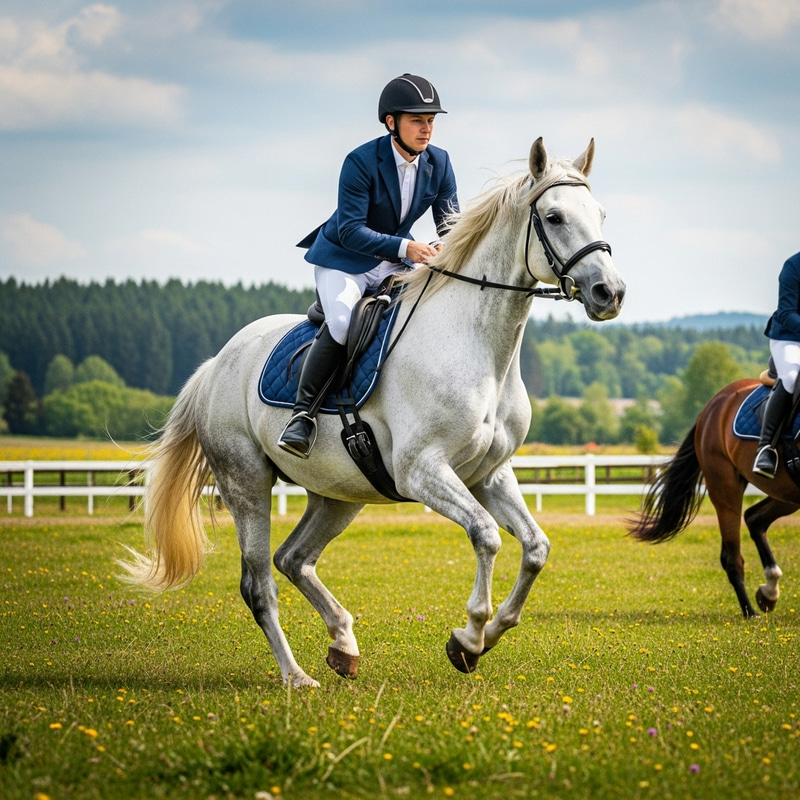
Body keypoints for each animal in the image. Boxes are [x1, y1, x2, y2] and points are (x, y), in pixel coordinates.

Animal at [118, 137, 626, 687]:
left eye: (600, 213)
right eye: (554, 216)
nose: (610, 293)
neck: (478, 346)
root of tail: (216, 366)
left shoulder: (489, 474)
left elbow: (535, 548)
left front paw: (487, 636)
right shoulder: (422, 471)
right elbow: (486, 536)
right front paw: (469, 637)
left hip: (339, 493)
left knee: (293, 559)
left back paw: (343, 643)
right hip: (246, 483)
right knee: (258, 584)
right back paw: (297, 677)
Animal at [629, 378, 799, 618]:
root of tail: (712, 404)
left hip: (786, 493)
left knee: (754, 518)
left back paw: (767, 594)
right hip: (725, 488)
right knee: (733, 557)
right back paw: (751, 610)